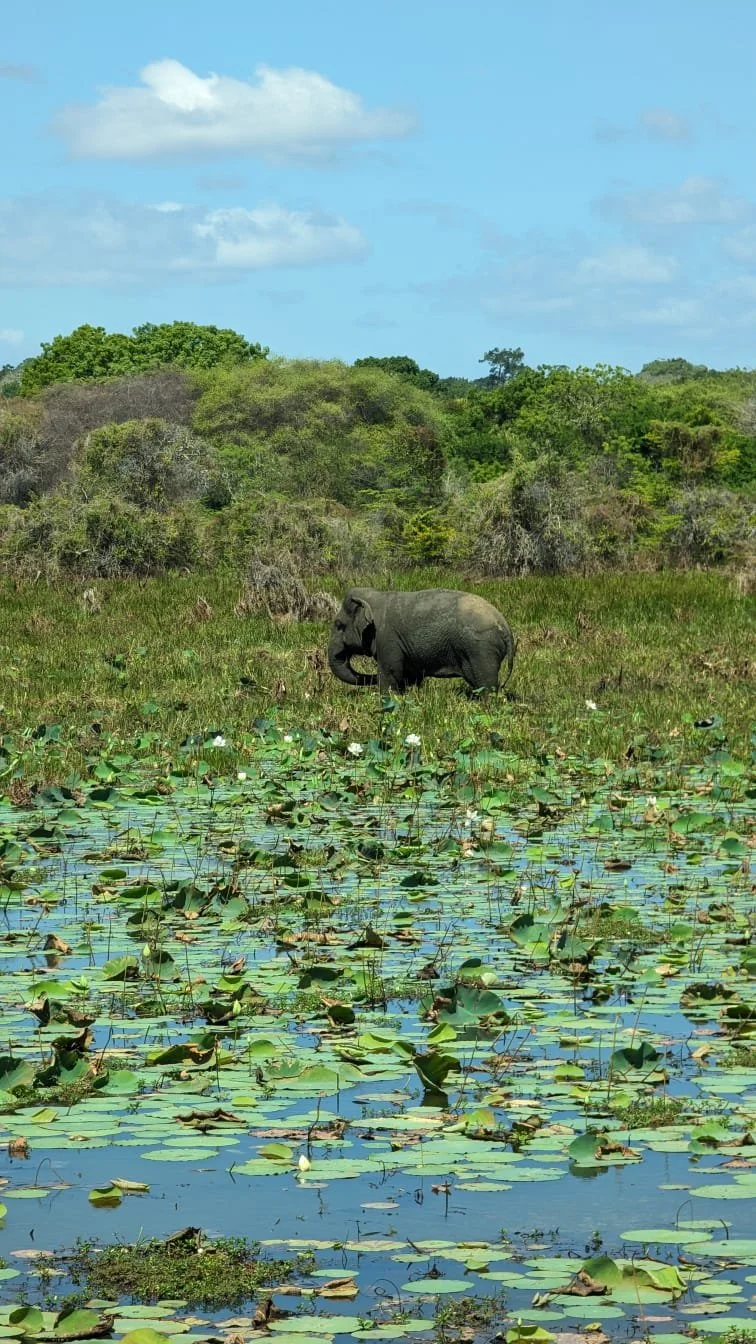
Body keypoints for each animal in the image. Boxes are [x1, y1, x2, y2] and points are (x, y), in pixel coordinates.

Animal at [328, 587, 515, 694]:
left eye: (338, 625)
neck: (377, 596)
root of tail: (505, 627)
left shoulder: (387, 637)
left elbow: (391, 672)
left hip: (481, 651)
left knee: (485, 686)